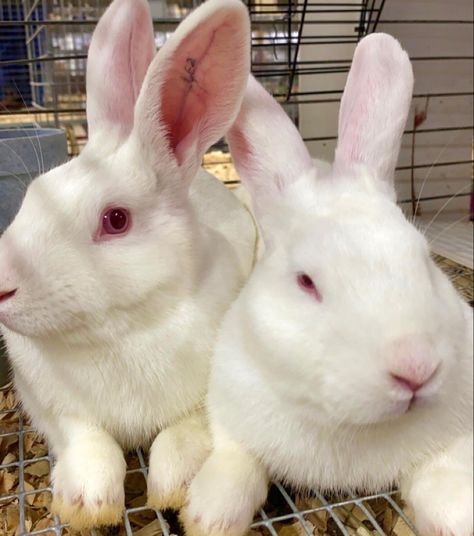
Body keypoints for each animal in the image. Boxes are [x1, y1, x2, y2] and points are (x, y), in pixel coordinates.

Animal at [0, 0, 256, 528]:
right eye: (33, 193)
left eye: (115, 219)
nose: (3, 286)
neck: (120, 334)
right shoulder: (47, 404)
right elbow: (89, 442)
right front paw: (86, 506)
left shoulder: (204, 402)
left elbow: (180, 437)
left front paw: (172, 492)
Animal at [182, 34, 474, 536]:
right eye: (306, 282)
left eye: (424, 258)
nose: (416, 369)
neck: (349, 425)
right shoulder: (230, 411)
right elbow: (236, 461)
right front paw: (207, 515)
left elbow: (441, 480)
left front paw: (459, 514)